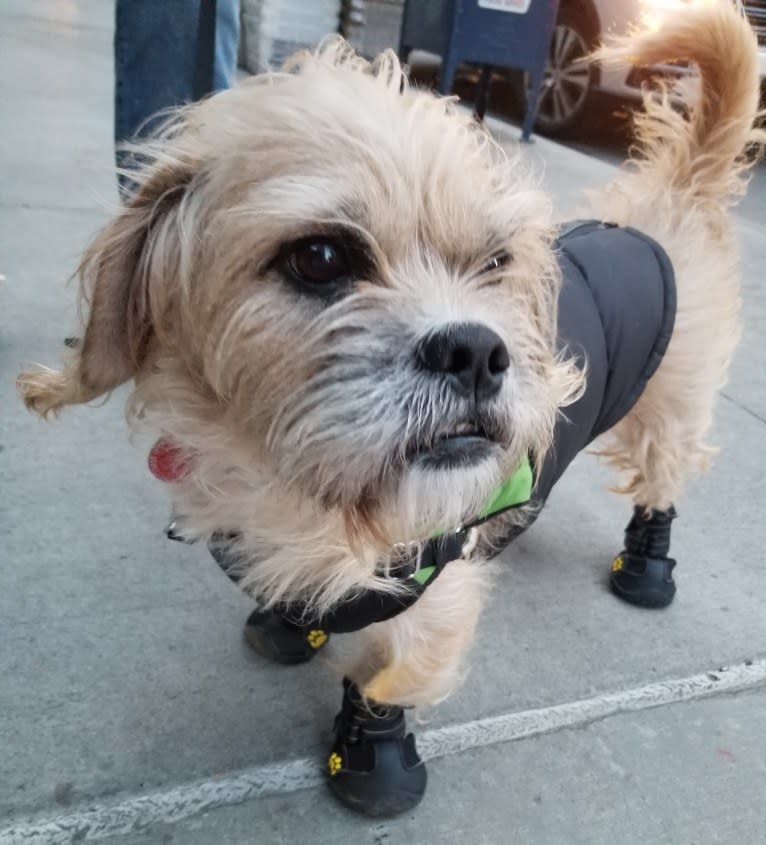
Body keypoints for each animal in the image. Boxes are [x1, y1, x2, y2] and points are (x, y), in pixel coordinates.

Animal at [21, 0, 764, 816]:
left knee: (664, 482)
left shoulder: (428, 589)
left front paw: (370, 752)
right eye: (319, 258)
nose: (478, 351)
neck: (299, 488)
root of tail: (669, 199)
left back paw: (647, 566)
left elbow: (388, 671)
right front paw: (290, 626)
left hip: (670, 412)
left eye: (495, 263)